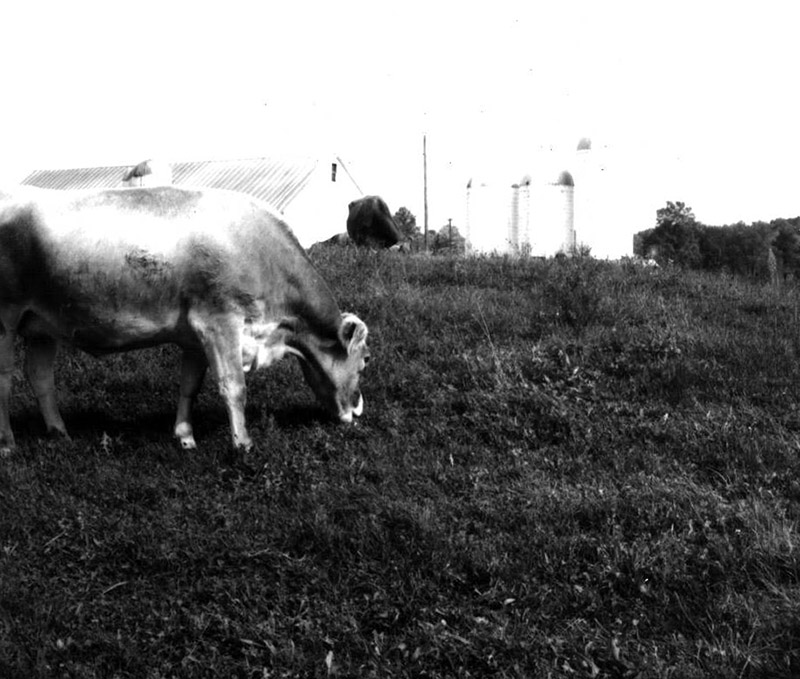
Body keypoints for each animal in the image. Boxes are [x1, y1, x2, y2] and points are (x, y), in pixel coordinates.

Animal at [0, 185, 368, 456]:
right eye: (364, 361)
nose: (359, 410)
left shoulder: (195, 334)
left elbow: (189, 385)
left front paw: (185, 436)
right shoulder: (220, 322)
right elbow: (234, 386)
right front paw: (243, 443)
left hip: (41, 325)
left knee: (40, 377)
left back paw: (59, 432)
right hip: (6, 318)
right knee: (5, 381)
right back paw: (7, 444)